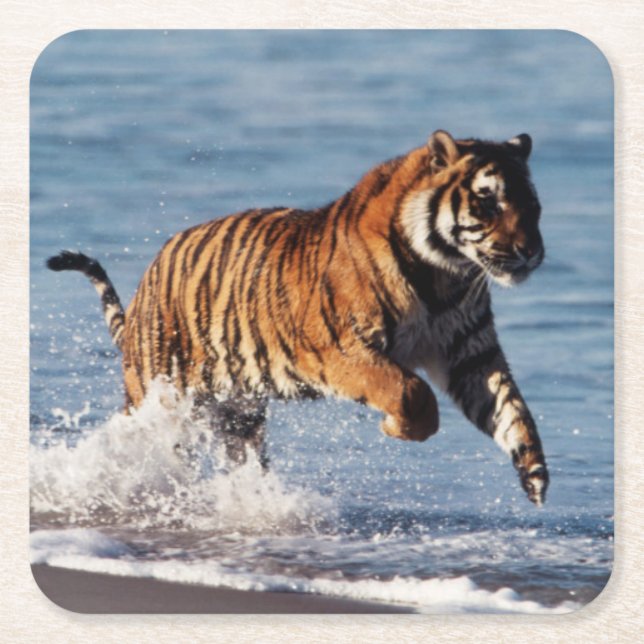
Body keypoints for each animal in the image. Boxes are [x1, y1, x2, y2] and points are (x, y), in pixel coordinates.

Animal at [47, 130, 549, 505]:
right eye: (489, 202)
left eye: (533, 206)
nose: (532, 253)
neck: (445, 275)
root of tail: (146, 284)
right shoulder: (343, 349)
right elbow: (410, 392)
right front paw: (397, 427)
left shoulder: (470, 353)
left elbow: (512, 408)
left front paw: (535, 473)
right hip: (163, 400)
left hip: (238, 415)